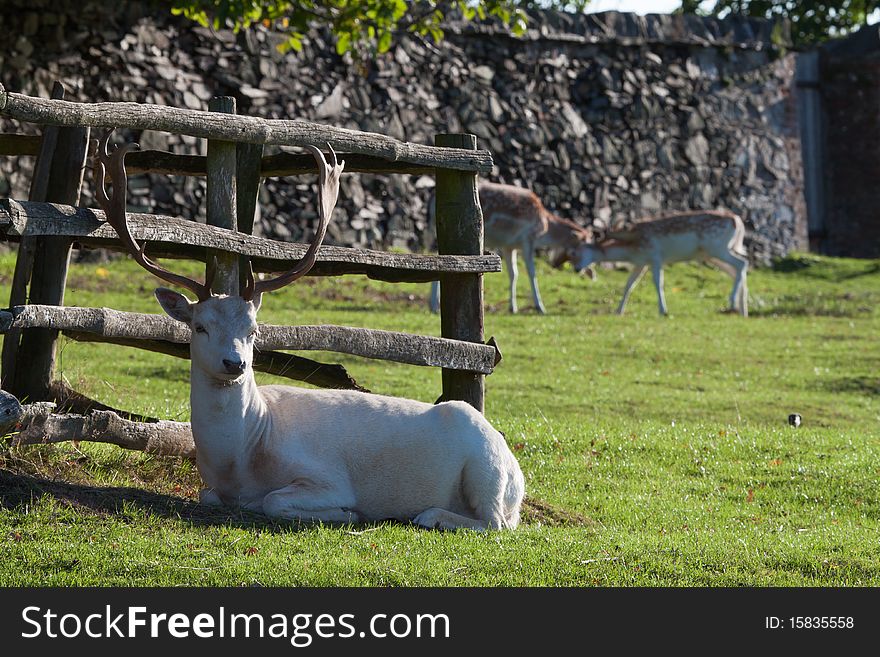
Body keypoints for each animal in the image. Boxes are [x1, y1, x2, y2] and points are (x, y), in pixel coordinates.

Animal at [93, 131, 524, 532]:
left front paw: (348, 513)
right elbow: (208, 495)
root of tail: (518, 476)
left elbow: (274, 501)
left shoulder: (328, 477)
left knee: (495, 524)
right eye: (200, 326)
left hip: (485, 470)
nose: (235, 364)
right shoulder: (213, 488)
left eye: (254, 330)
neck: (243, 459)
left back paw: (428, 514)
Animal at [572, 208, 748, 316]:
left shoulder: (656, 257)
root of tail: (737, 221)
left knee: (742, 263)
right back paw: (742, 310)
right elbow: (629, 284)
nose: (575, 269)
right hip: (712, 255)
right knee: (737, 270)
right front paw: (618, 310)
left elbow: (658, 283)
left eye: (578, 252)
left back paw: (733, 302)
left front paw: (663, 310)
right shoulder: (641, 263)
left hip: (717, 248)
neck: (632, 248)